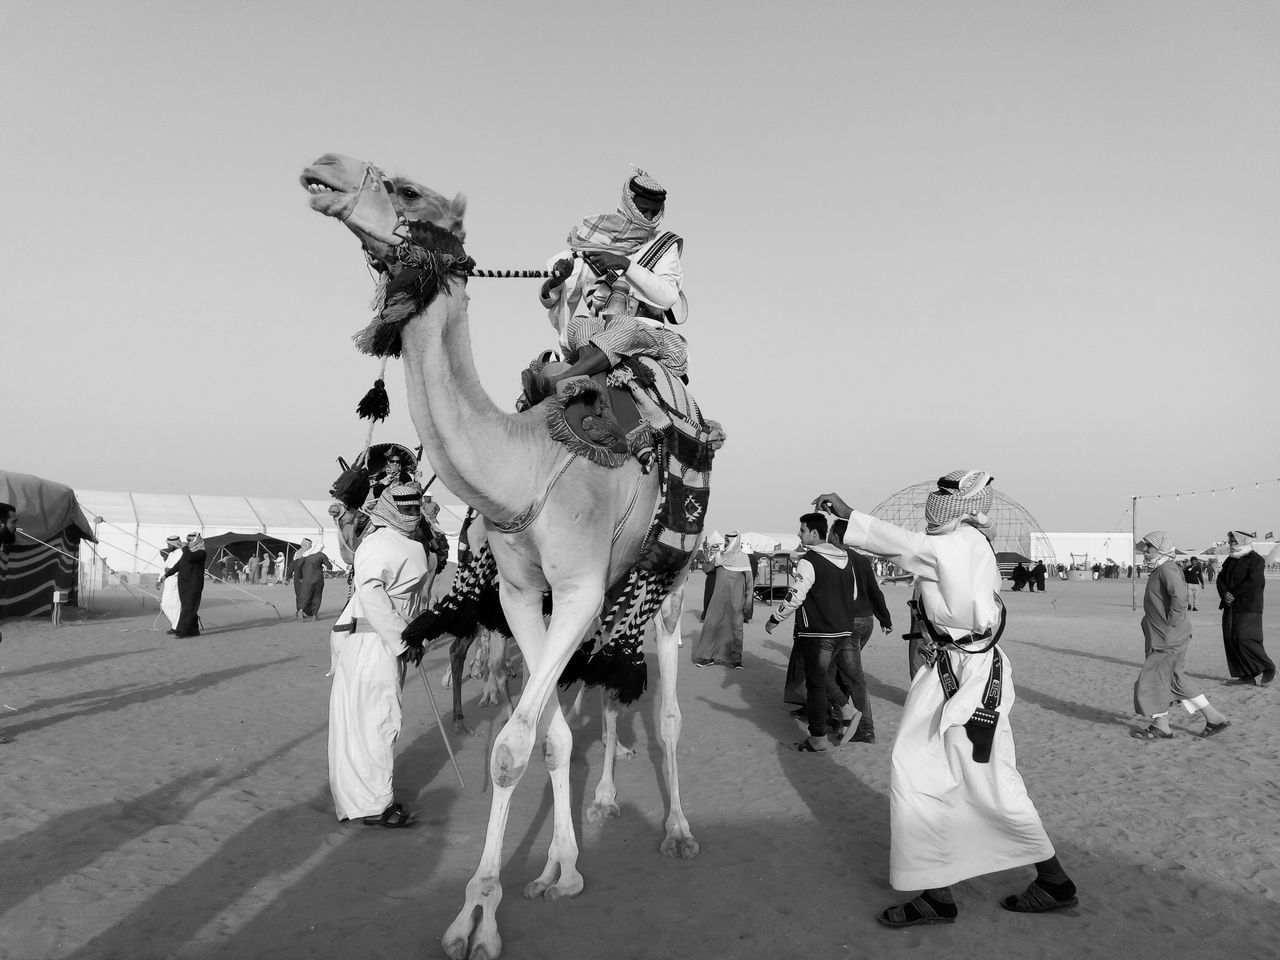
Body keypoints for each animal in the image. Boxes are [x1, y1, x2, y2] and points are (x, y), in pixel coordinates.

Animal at [304, 154, 706, 957]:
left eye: (406, 189)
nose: (324, 169)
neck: (523, 463)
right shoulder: (526, 595)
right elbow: (547, 735)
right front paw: (557, 869)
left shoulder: (578, 588)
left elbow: (512, 746)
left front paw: (478, 918)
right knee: (605, 695)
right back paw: (605, 802)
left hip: (671, 582)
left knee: (669, 709)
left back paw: (677, 831)